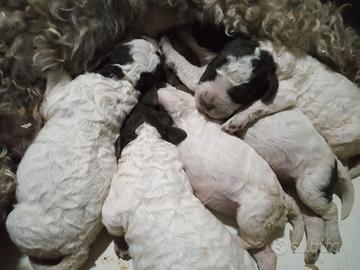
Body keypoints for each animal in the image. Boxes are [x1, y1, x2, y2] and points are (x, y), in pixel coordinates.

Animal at [5, 37, 162, 270]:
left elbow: (55, 81)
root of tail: (77, 249)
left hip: (15, 224)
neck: (123, 78)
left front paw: (49, 56)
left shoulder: (60, 95)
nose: (155, 43)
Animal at [158, 85, 304, 270]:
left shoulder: (179, 103)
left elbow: (165, 94)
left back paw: (232, 239)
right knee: (268, 255)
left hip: (250, 216)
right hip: (255, 223)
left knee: (253, 242)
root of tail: (283, 200)